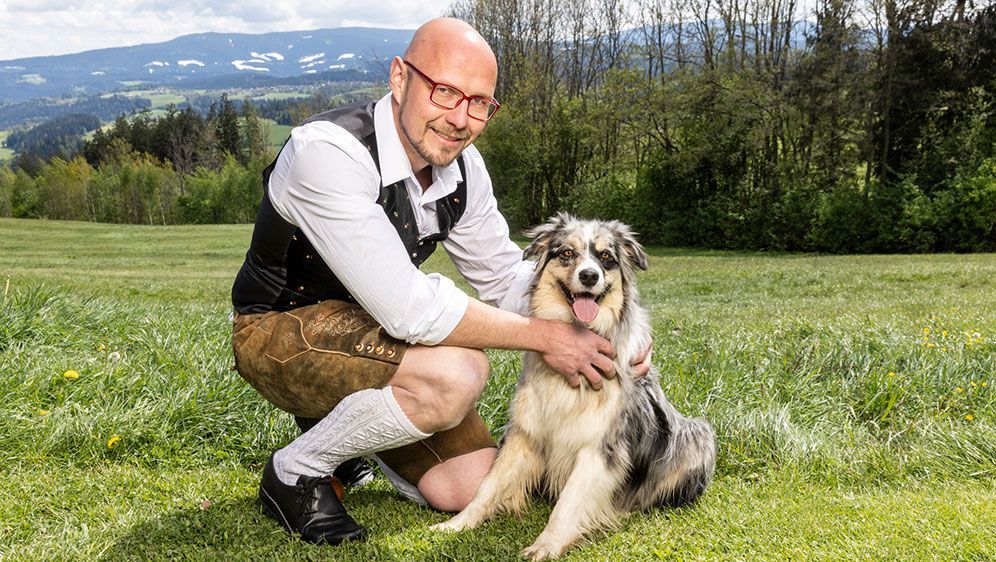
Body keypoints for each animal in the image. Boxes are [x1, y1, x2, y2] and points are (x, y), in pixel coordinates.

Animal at [432, 213, 712, 556]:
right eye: (567, 253)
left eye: (606, 258)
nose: (589, 276)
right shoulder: (524, 432)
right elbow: (489, 484)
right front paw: (456, 524)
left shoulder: (600, 447)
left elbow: (569, 502)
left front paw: (546, 546)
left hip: (698, 434)